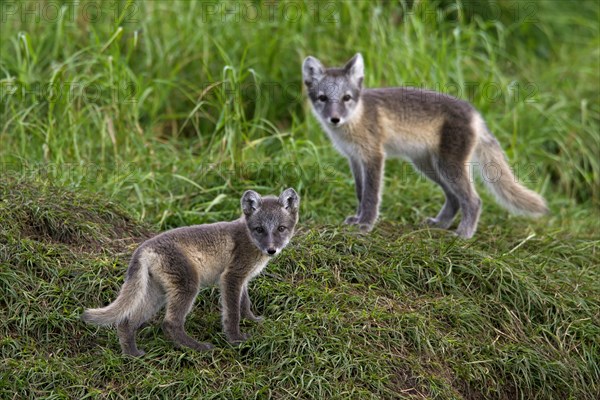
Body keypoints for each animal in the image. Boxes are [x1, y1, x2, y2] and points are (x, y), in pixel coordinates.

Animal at [81, 188, 300, 356]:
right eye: (259, 229)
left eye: (281, 228)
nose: (271, 250)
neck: (249, 238)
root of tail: (143, 248)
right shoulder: (231, 277)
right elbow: (232, 312)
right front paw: (236, 340)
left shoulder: (242, 279)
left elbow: (244, 304)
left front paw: (252, 321)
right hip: (187, 286)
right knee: (169, 323)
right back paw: (198, 348)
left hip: (157, 293)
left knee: (126, 321)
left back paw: (132, 355)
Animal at [304, 53, 548, 238]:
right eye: (323, 98)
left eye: (346, 98)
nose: (334, 119)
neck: (356, 119)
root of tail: (476, 115)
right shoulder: (354, 159)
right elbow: (360, 192)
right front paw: (357, 218)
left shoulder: (374, 156)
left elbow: (371, 196)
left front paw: (365, 224)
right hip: (428, 166)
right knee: (454, 199)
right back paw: (440, 224)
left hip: (448, 166)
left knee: (474, 200)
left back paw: (463, 234)